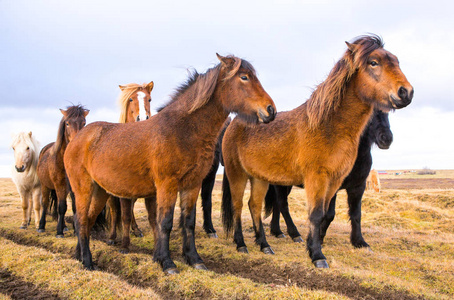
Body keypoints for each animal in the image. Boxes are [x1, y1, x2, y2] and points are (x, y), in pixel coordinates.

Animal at [36, 105, 89, 237]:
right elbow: (61, 207)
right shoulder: (60, 185)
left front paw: (76, 230)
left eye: (84, 123)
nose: (77, 142)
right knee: (45, 203)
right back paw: (41, 226)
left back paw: (64, 226)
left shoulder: (74, 186)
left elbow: (74, 207)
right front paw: (59, 232)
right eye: (67, 123)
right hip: (45, 185)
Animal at [106, 80, 154, 251]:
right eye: (131, 99)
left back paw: (136, 229)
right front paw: (115, 239)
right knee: (115, 210)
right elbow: (118, 212)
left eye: (149, 99)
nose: (143, 118)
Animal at [264, 109, 392, 247]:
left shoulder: (358, 186)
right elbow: (329, 214)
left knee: (277, 204)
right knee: (282, 204)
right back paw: (294, 234)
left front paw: (359, 241)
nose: (386, 138)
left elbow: (356, 214)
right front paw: (319, 237)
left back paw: (277, 231)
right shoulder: (331, 186)